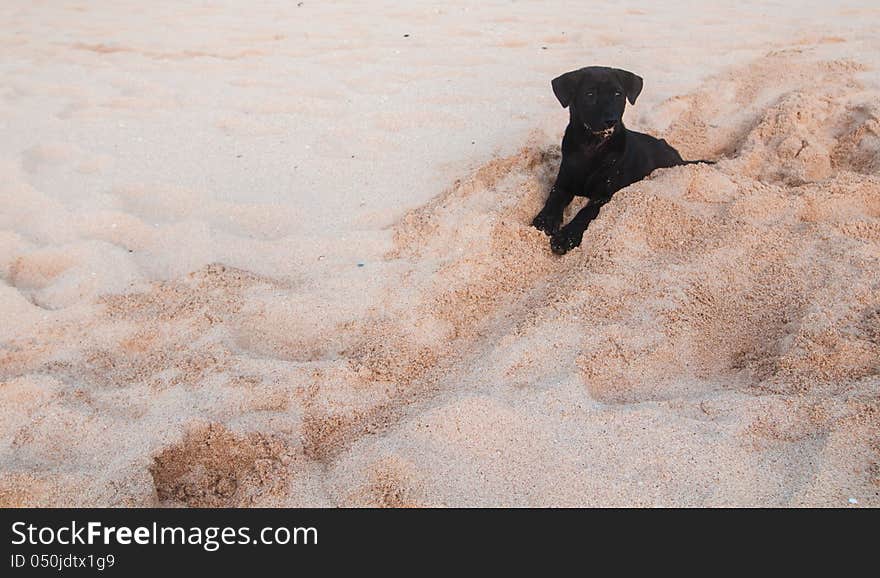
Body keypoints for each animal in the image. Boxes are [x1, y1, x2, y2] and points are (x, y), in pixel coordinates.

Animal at [528, 65, 708, 252]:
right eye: (590, 94)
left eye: (618, 94)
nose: (611, 121)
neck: (592, 145)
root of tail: (679, 158)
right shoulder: (564, 181)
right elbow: (554, 198)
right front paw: (545, 220)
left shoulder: (604, 194)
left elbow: (585, 213)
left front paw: (566, 237)